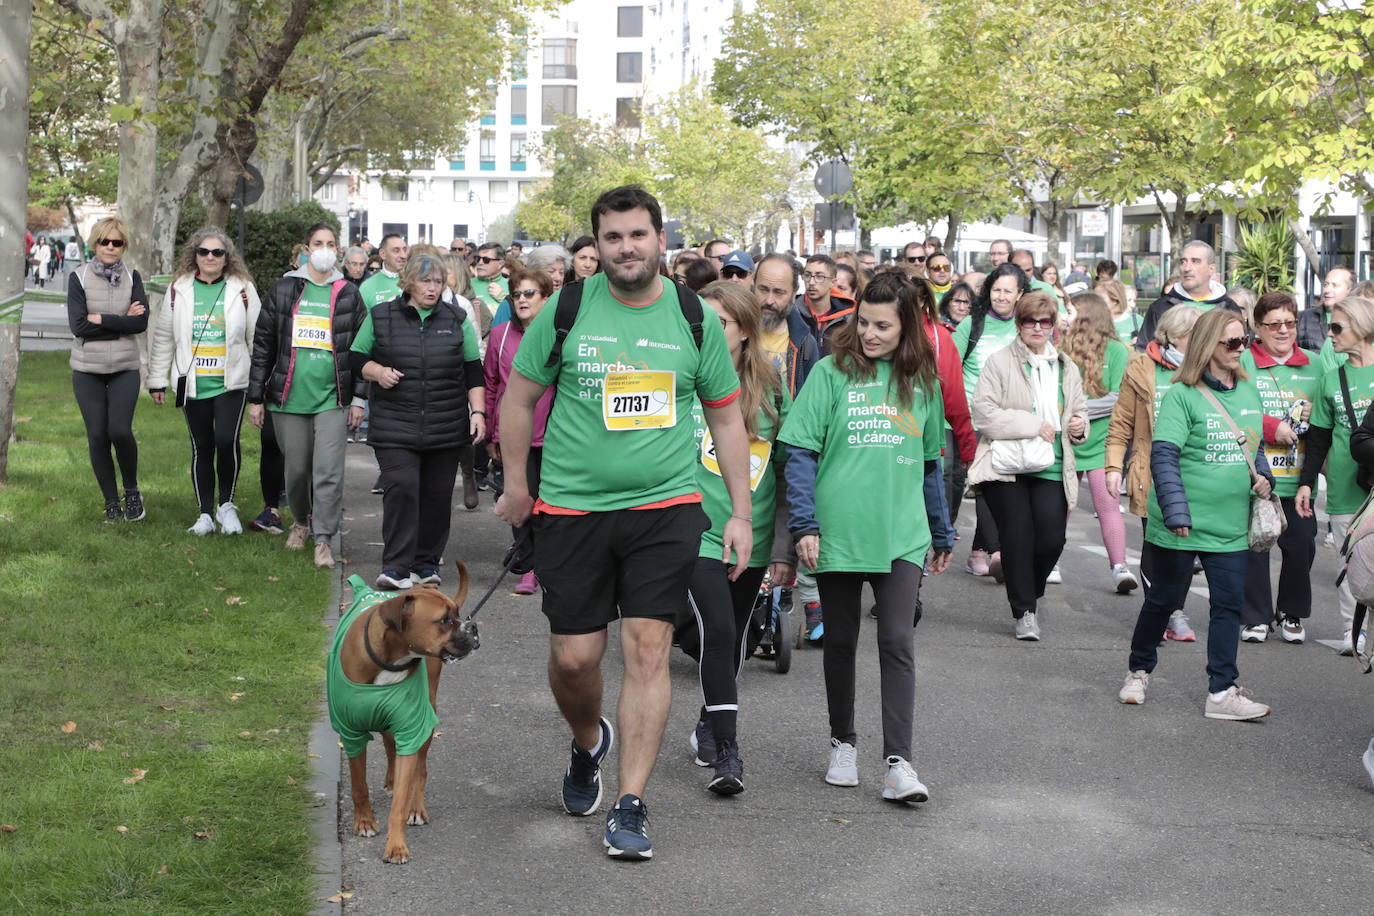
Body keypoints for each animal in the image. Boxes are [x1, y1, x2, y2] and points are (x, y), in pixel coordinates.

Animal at [335, 565, 475, 867]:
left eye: (456, 614)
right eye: (445, 620)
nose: (472, 626)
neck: (388, 660)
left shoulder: (412, 729)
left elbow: (401, 797)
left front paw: (396, 845)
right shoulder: (350, 733)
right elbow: (358, 784)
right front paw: (364, 822)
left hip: (428, 713)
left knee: (419, 768)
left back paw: (415, 807)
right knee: (389, 743)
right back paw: (389, 779)